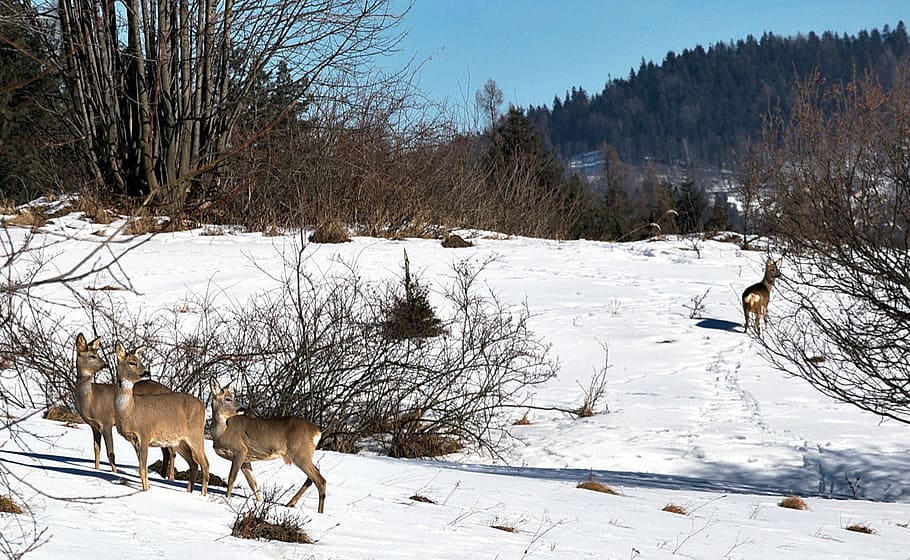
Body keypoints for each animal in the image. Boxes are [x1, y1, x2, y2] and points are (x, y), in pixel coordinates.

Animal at [72, 333, 177, 478]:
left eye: (97, 354)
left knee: (172, 452)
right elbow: (96, 450)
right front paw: (96, 469)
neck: (91, 400)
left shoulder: (106, 422)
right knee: (166, 451)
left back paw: (170, 477)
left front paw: (114, 473)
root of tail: (169, 390)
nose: (105, 364)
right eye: (92, 355)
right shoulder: (94, 426)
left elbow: (110, 453)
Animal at [114, 342, 209, 495]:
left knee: (205, 464)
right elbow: (141, 468)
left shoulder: (145, 434)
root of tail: (203, 406)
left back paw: (202, 495)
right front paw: (148, 488)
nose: (146, 372)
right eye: (132, 362)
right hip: (179, 442)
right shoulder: (134, 440)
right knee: (194, 464)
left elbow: (142, 469)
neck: (130, 410)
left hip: (196, 434)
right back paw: (189, 492)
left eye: (140, 361)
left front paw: (146, 490)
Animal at [209, 379, 326, 513]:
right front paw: (260, 503)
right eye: (228, 398)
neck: (221, 432)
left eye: (233, 397)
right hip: (303, 454)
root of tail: (317, 431)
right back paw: (290, 503)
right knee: (314, 476)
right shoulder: (246, 458)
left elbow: (232, 477)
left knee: (320, 479)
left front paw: (227, 499)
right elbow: (253, 483)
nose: (241, 408)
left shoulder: (240, 450)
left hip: (299, 453)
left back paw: (319, 512)